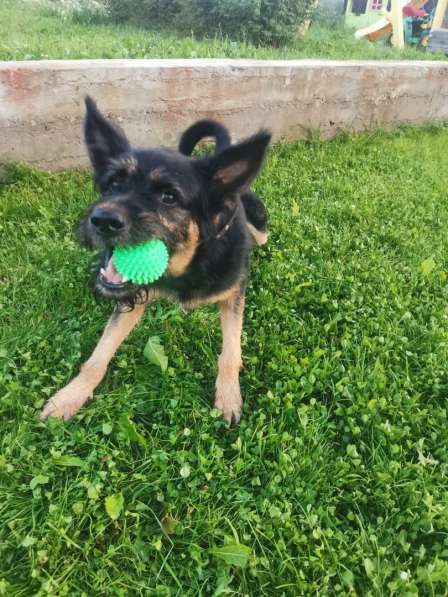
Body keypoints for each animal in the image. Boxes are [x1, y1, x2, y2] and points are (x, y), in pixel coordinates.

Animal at [40, 98, 272, 422]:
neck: (184, 266)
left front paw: (228, 396)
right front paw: (69, 397)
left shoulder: (233, 294)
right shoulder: (130, 298)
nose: (102, 221)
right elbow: (98, 355)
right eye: (113, 184)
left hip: (260, 229)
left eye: (169, 197)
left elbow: (230, 351)